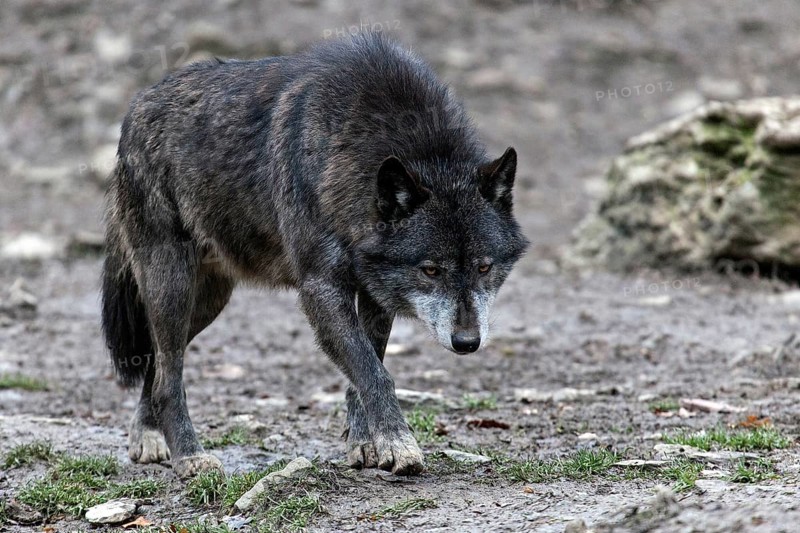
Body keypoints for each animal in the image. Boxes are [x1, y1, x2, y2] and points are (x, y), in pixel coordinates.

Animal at [102, 32, 528, 479]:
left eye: (484, 267)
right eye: (430, 270)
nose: (467, 342)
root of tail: (136, 106)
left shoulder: (375, 293)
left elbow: (366, 369)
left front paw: (366, 445)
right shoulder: (320, 290)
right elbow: (374, 373)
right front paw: (399, 445)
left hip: (207, 302)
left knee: (157, 364)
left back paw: (147, 436)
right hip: (173, 287)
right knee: (168, 377)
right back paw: (189, 456)